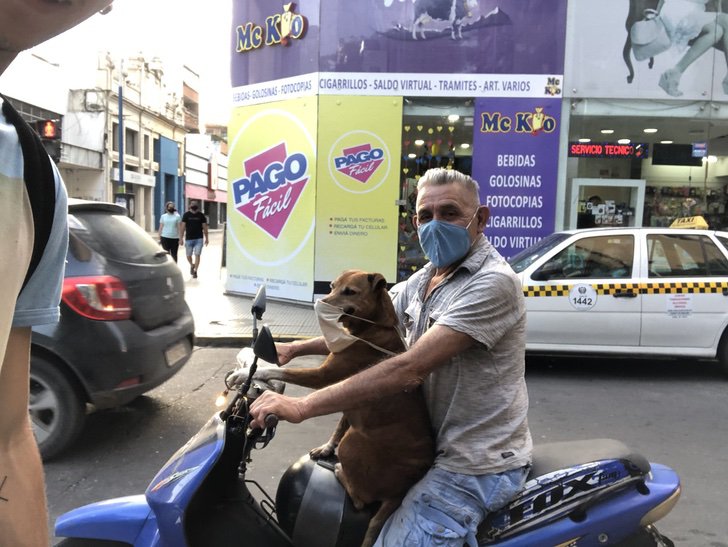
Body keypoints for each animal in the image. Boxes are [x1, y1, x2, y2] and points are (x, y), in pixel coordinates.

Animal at [253, 270, 432, 547]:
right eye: (332, 286)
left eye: (350, 292)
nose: (322, 302)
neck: (374, 327)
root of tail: (402, 489)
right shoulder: (348, 399)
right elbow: (339, 425)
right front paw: (326, 448)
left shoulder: (323, 376)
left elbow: (282, 371)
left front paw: (250, 372)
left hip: (353, 444)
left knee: (360, 500)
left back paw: (340, 471)